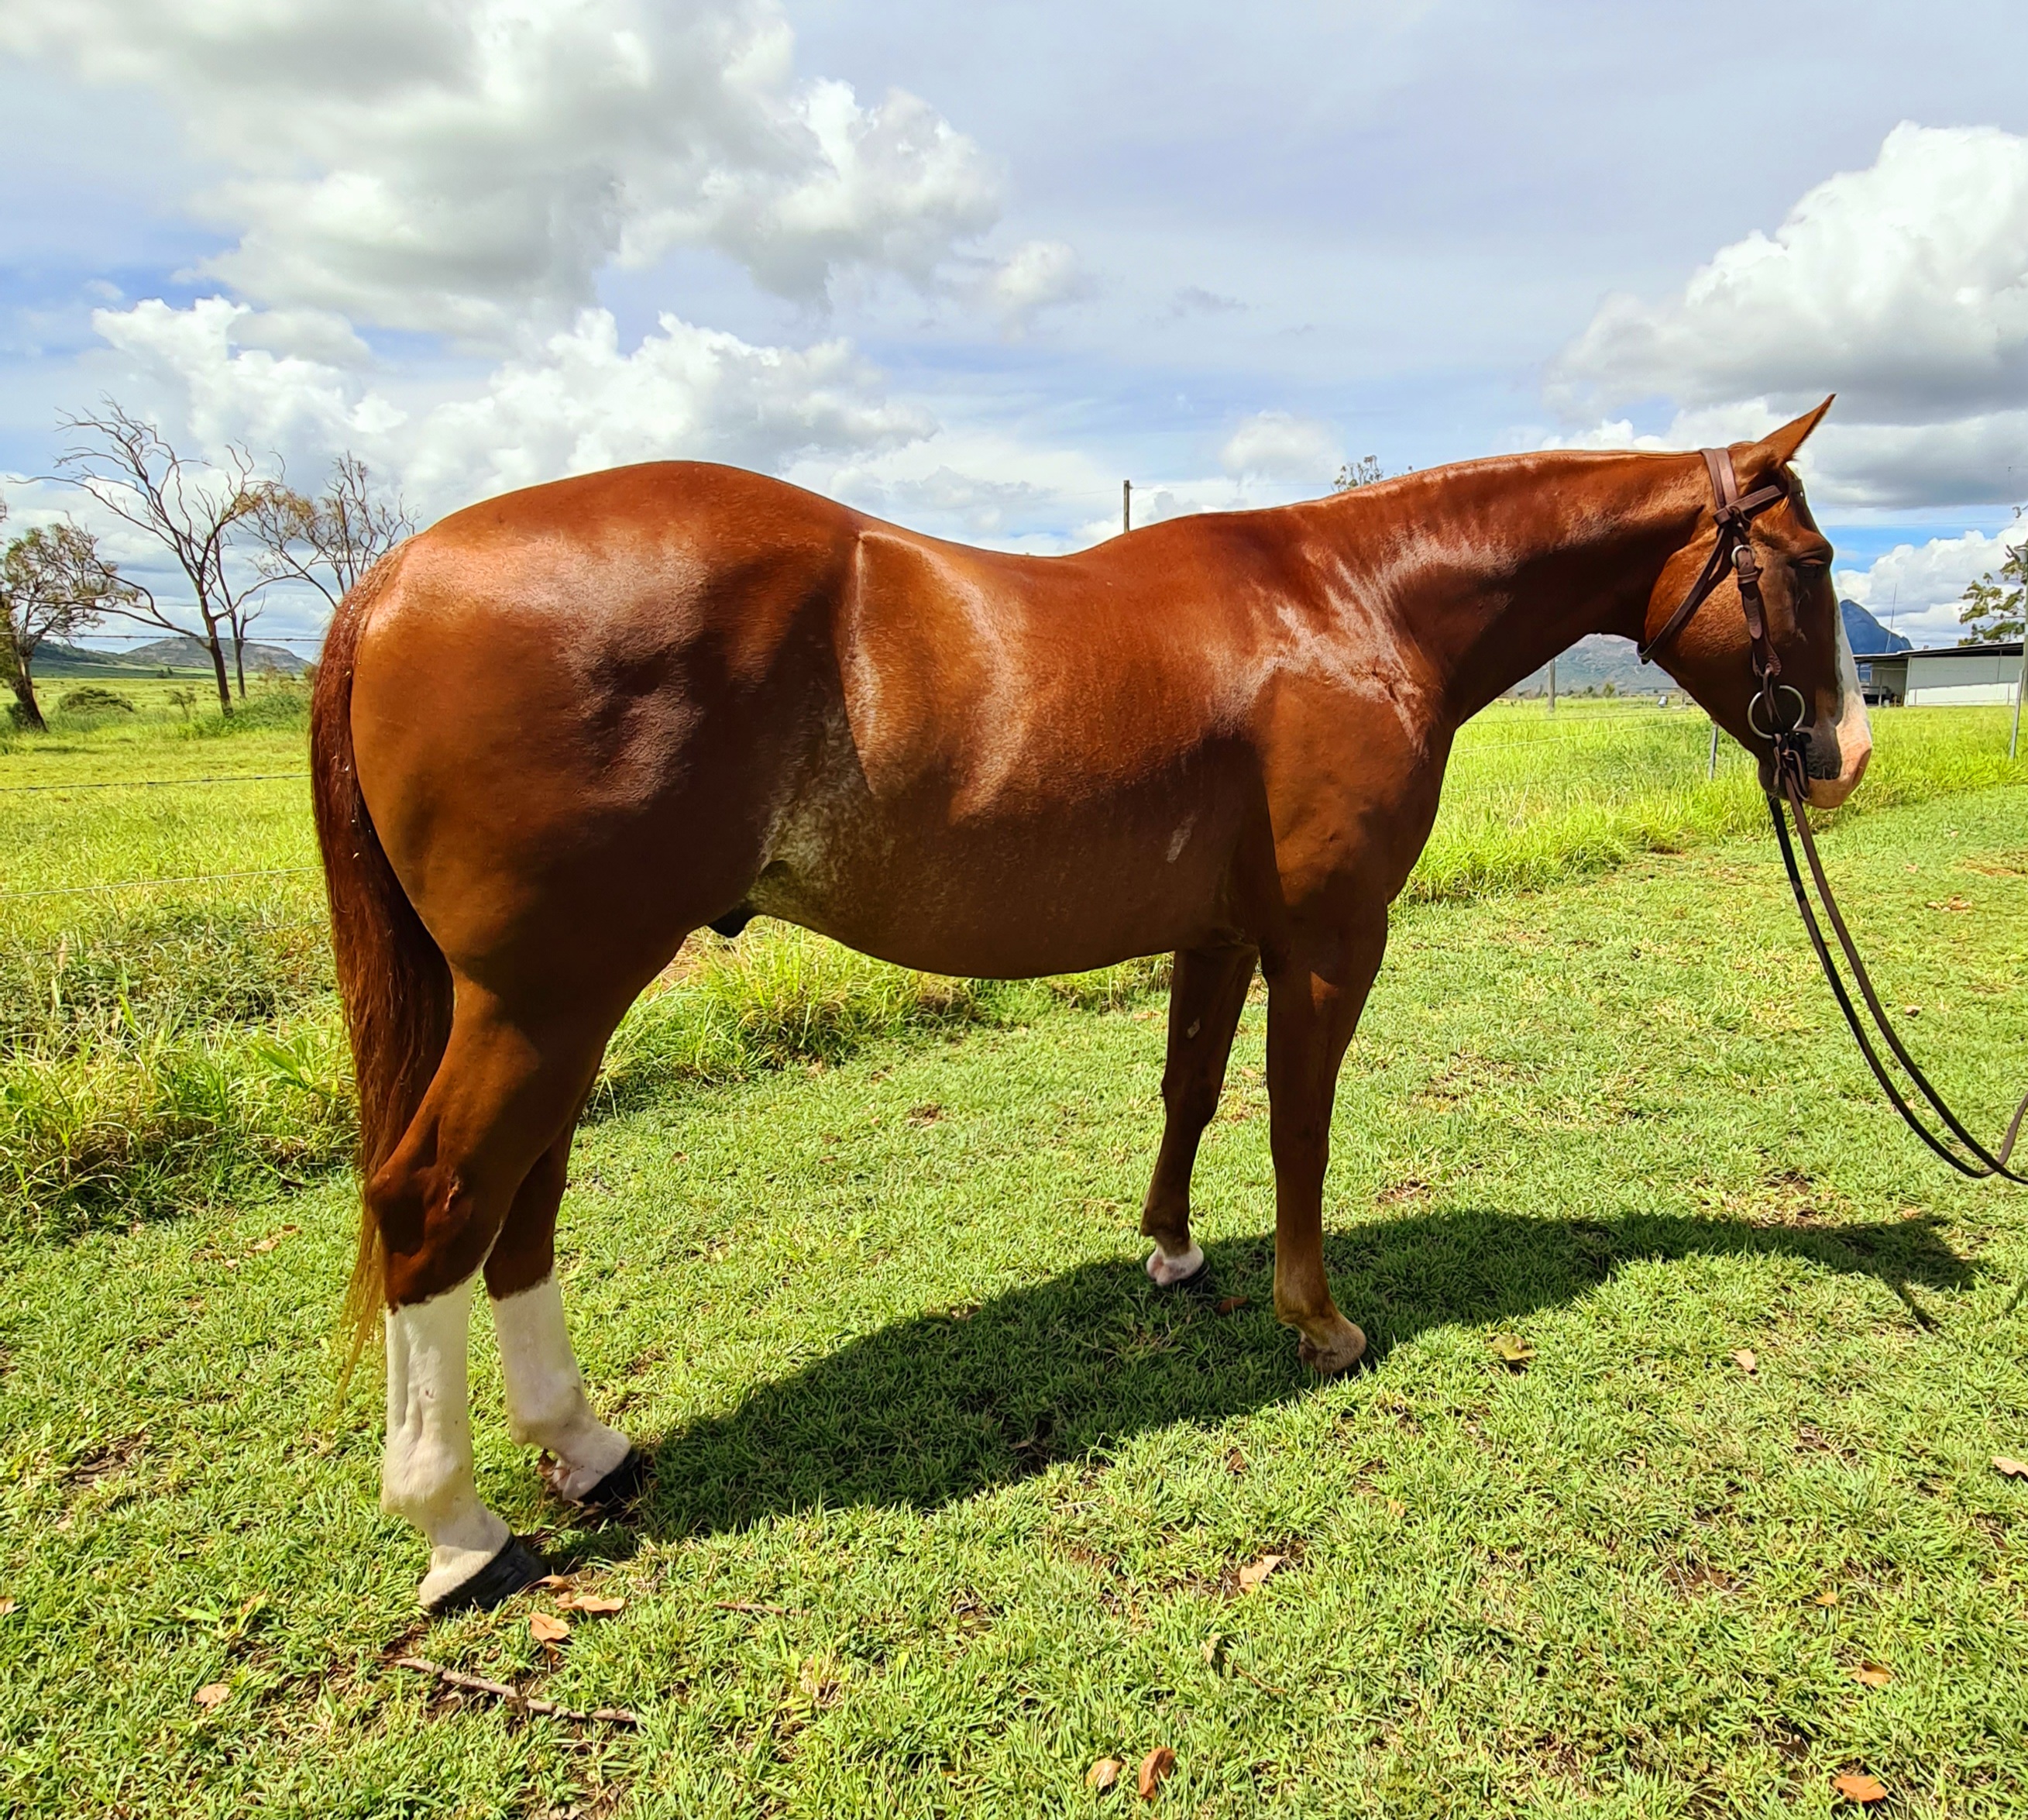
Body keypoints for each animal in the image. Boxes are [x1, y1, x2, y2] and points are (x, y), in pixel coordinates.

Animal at [309, 399, 1869, 1610]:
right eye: (1804, 563)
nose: (1843, 755)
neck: (1351, 602)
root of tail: (394, 578)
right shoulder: (1326, 939)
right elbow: (1297, 1123)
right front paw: (1318, 1322)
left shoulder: (1222, 932)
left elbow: (1192, 1086)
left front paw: (1172, 1252)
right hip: (543, 997)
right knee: (437, 1202)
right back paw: (458, 1525)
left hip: (551, 1004)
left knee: (521, 1207)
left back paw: (584, 1446)